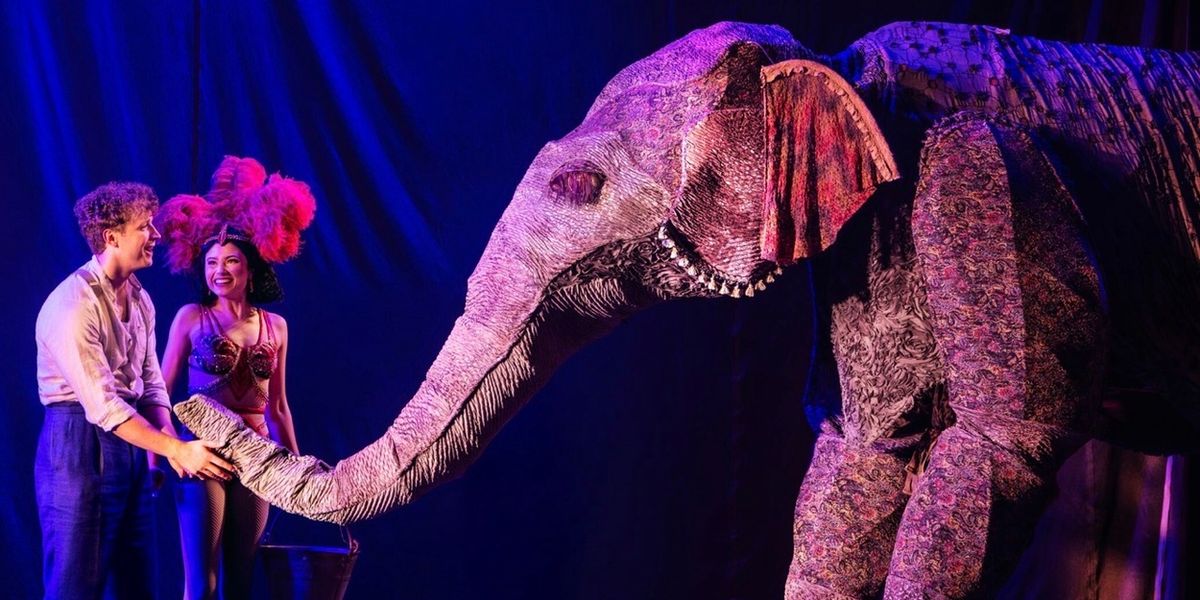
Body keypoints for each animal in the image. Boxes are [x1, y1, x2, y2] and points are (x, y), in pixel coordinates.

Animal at [175, 21, 1200, 598]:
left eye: (580, 185)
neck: (834, 66)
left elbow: (995, 450)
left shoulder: (987, 174)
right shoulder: (869, 241)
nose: (189, 407)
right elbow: (865, 453)